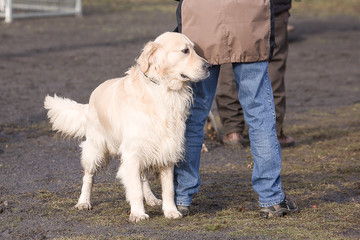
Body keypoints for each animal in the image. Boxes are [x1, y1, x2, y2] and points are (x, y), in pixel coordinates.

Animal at [43, 32, 211, 223]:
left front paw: (171, 211)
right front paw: (138, 213)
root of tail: (91, 98)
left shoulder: (166, 148)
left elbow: (168, 188)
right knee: (88, 176)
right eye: (184, 51)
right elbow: (135, 189)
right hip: (95, 148)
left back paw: (151, 199)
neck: (163, 91)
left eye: (195, 49)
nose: (209, 66)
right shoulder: (132, 153)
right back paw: (83, 202)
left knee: (143, 177)